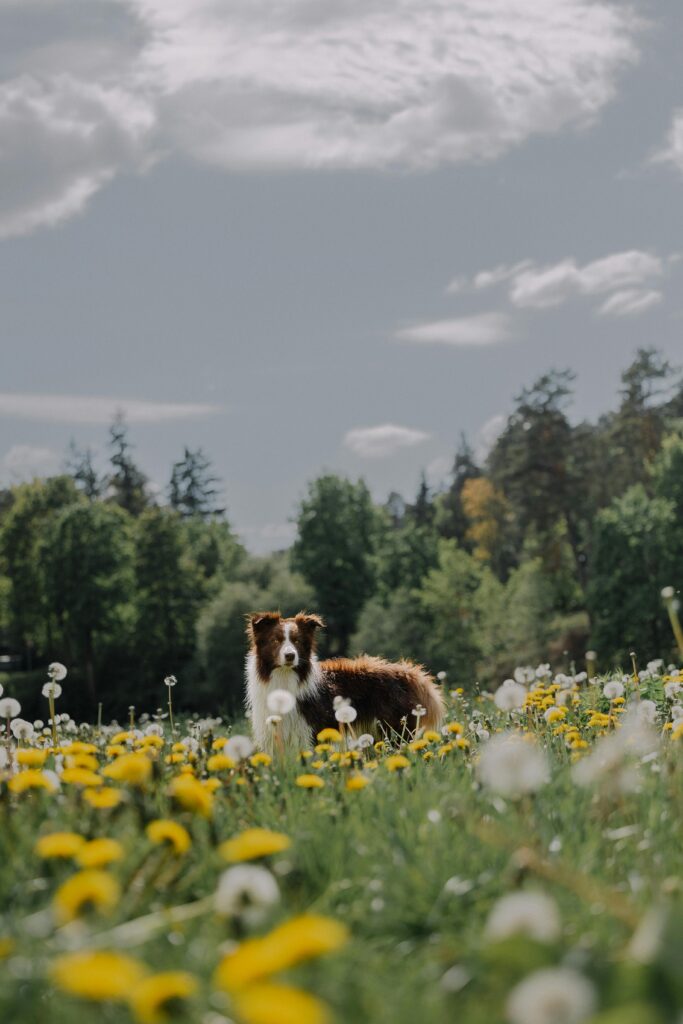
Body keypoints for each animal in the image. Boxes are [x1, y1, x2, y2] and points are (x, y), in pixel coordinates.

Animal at [244, 610, 444, 757]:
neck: (284, 677)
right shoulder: (273, 735)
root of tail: (408, 673)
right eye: (275, 640)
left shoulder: (310, 732)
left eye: (297, 641)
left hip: (396, 728)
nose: (290, 656)